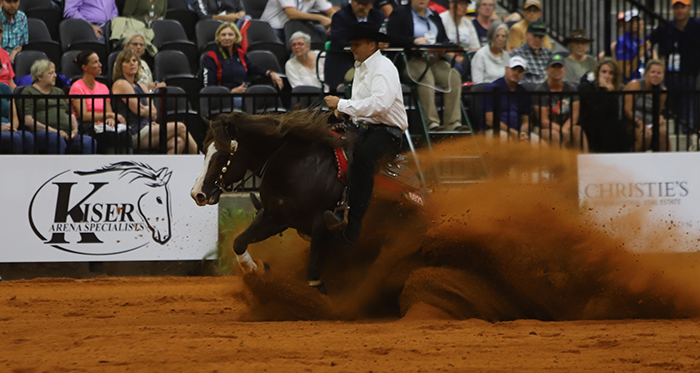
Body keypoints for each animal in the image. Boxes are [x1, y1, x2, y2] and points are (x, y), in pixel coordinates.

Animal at [189, 110, 426, 294]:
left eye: (223, 155)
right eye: (204, 150)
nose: (197, 194)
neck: (296, 166)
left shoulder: (321, 225)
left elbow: (313, 274)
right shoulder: (274, 217)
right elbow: (239, 242)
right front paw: (255, 270)